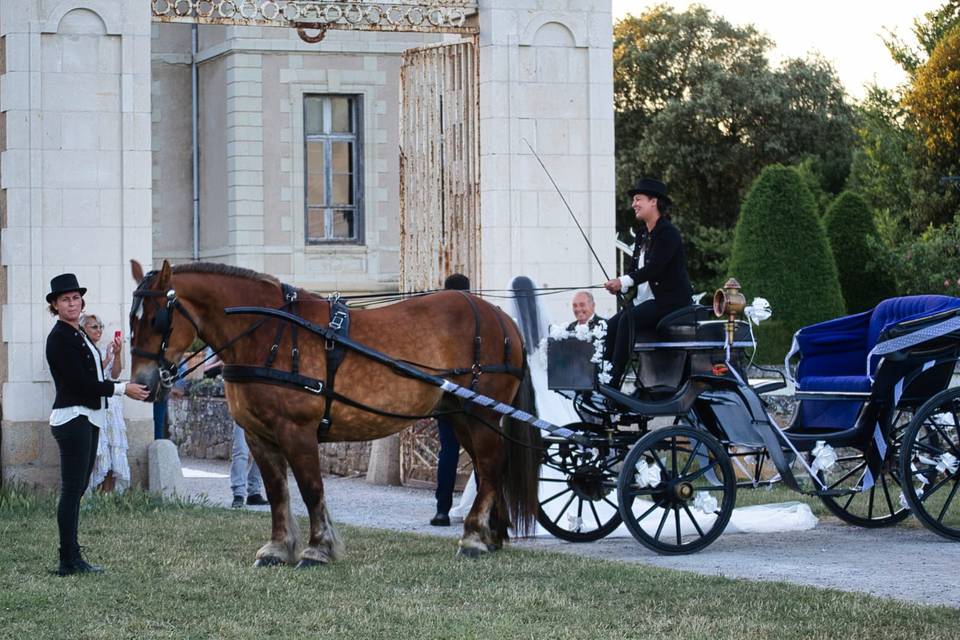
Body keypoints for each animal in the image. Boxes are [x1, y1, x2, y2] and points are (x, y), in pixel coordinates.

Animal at [127, 260, 540, 564]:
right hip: (461, 416)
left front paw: (317, 548)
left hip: (479, 414)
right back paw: (491, 534)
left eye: (157, 319)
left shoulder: (297, 430)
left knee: (490, 467)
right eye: (132, 319)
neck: (268, 332)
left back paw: (473, 537)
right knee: (489, 469)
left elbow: (311, 488)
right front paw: (279, 548)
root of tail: (500, 317)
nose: (143, 383)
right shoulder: (259, 435)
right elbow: (277, 491)